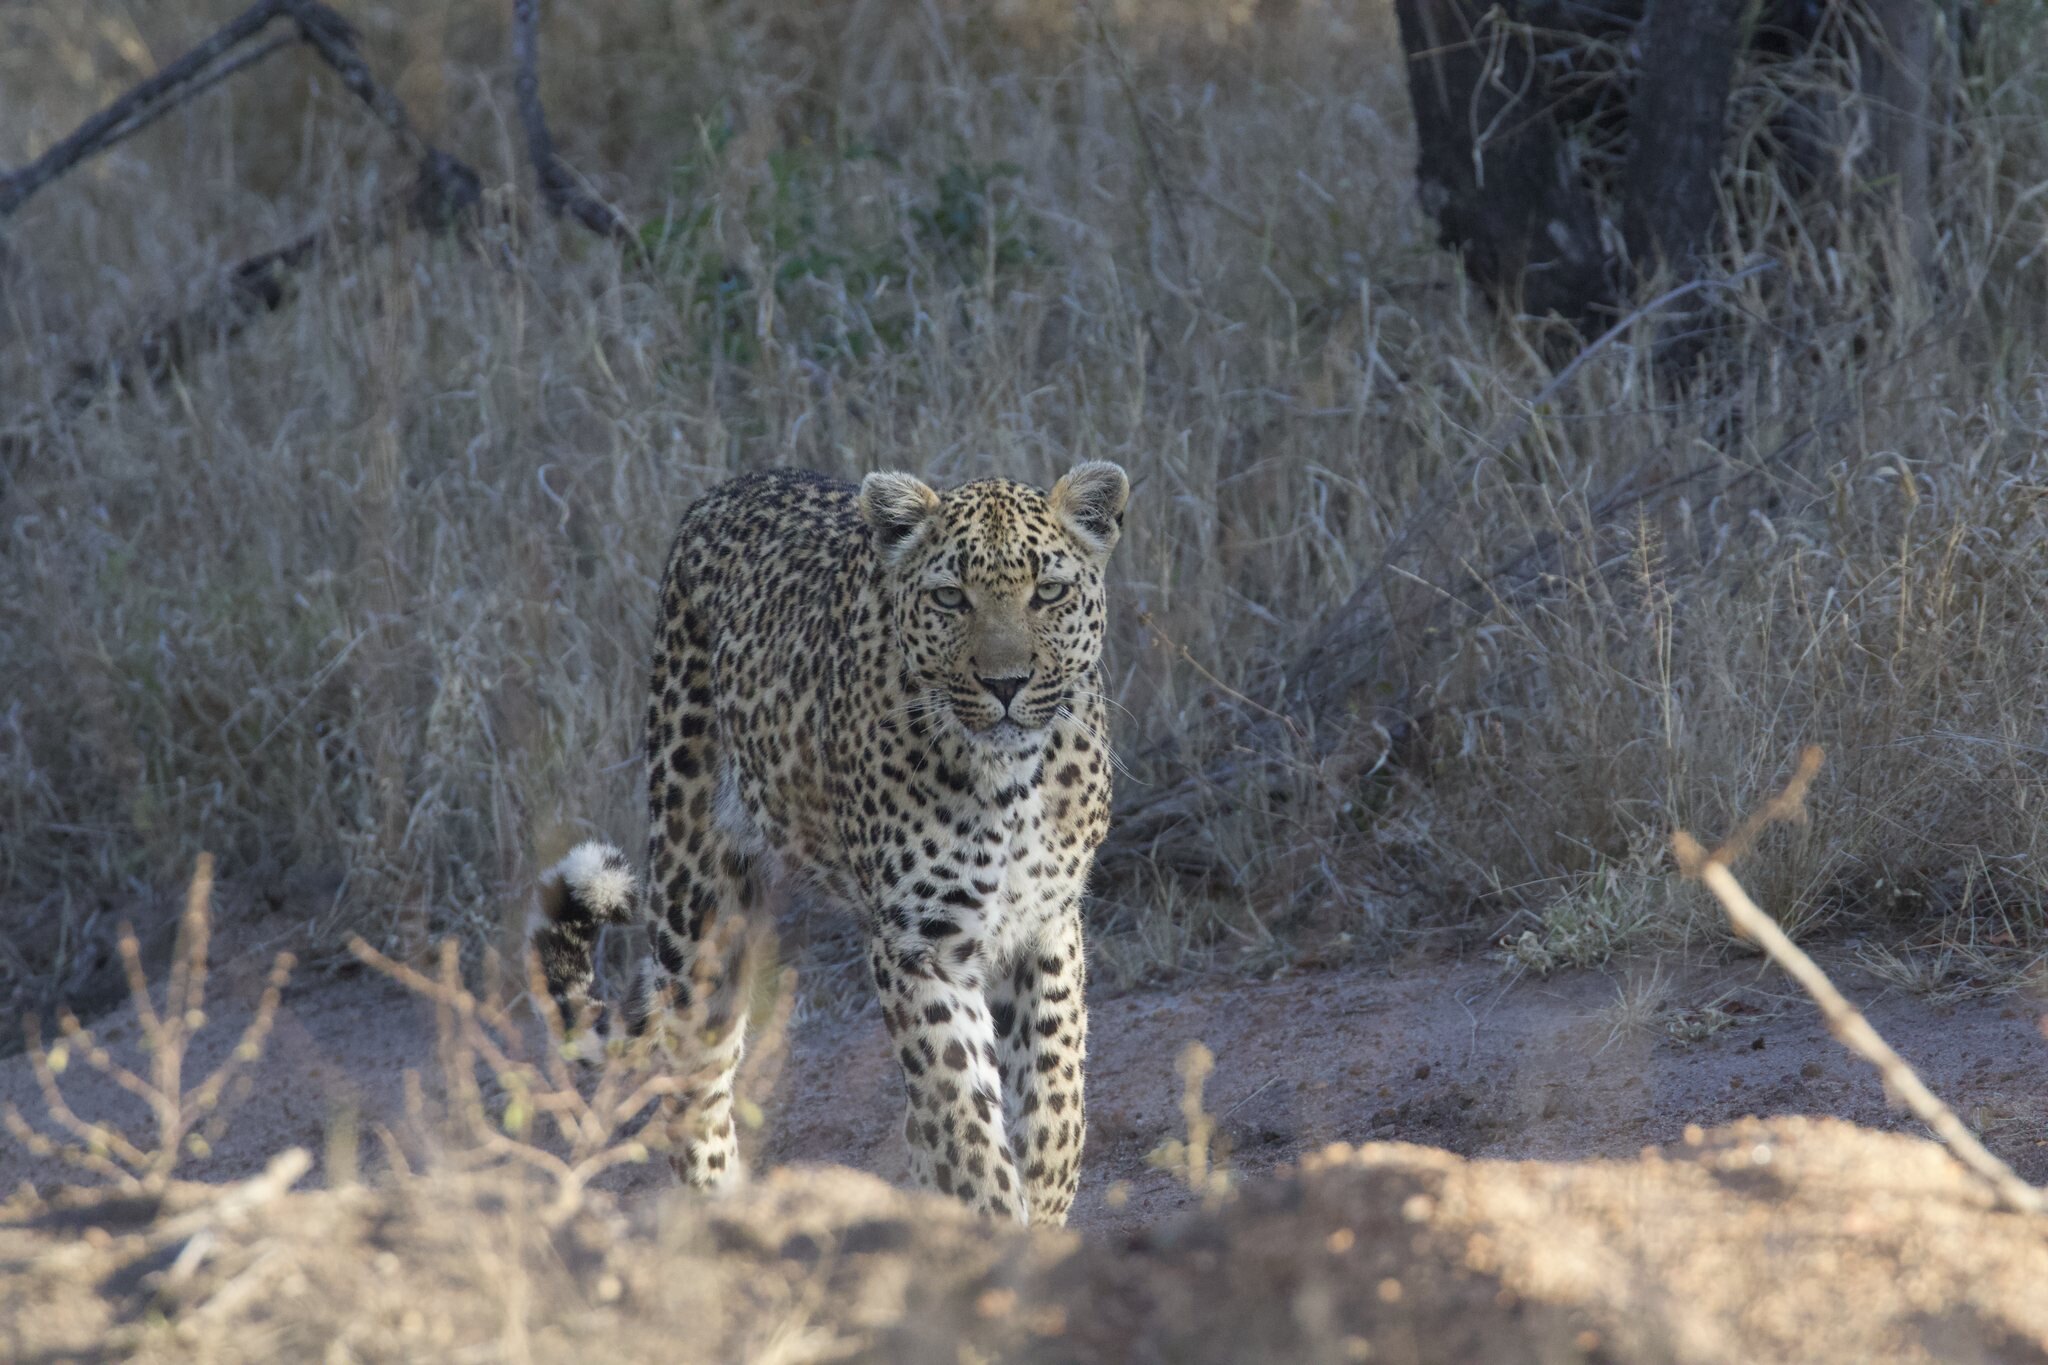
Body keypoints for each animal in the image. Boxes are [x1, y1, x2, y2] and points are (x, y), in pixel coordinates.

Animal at [529, 461, 1130, 1226]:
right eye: (950, 598)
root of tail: (737, 483)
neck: (1013, 781)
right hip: (698, 899)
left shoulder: (1047, 926)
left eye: (1047, 592)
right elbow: (963, 1119)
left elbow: (1055, 1097)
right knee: (694, 1086)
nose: (1005, 683)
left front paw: (1044, 1206)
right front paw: (995, 1222)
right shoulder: (921, 944)